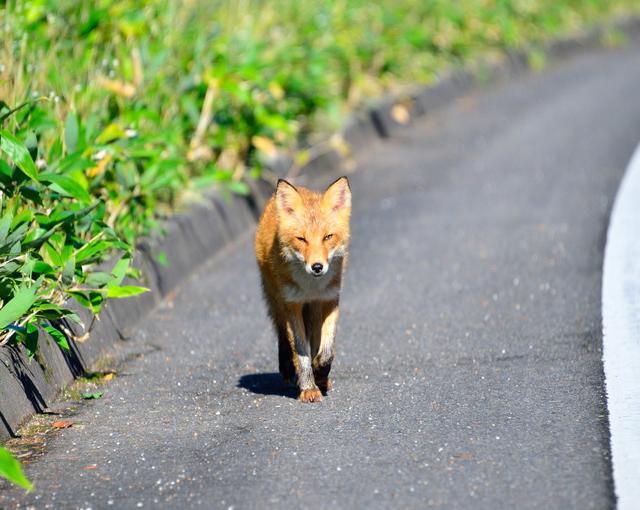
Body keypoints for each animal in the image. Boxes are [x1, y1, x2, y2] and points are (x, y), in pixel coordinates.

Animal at [255, 177, 352, 404]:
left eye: (328, 237)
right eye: (302, 239)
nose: (317, 267)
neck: (311, 287)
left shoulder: (330, 299)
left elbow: (327, 351)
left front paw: (320, 373)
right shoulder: (292, 304)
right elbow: (301, 353)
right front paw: (308, 387)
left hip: (314, 309)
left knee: (316, 340)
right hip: (277, 300)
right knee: (282, 335)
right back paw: (288, 369)